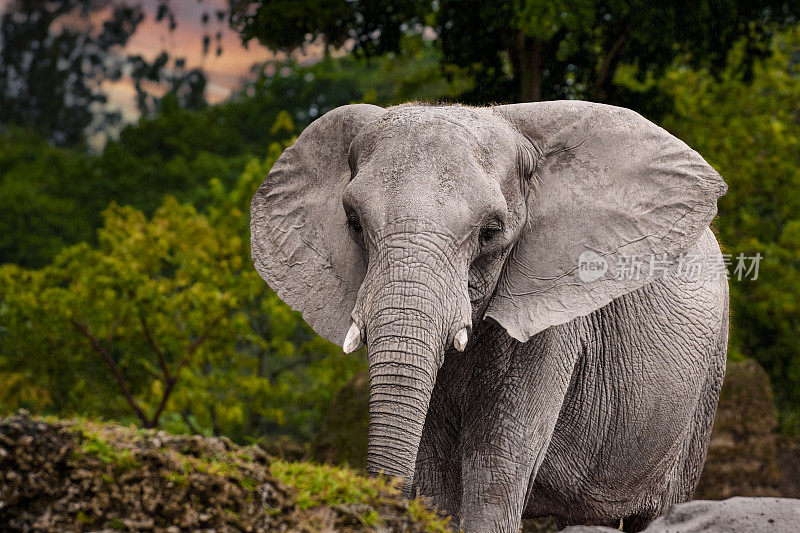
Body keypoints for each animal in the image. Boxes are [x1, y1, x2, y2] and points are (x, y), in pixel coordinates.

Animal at [252, 101, 732, 532]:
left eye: (490, 232)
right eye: (352, 223)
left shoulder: (551, 321)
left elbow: (496, 469)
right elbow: (435, 476)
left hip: (702, 389)